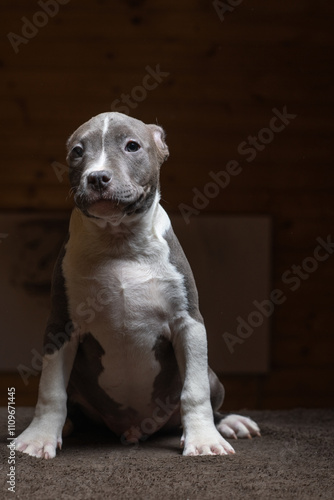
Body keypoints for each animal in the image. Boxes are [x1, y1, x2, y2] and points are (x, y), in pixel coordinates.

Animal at [15, 112, 260, 458]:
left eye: (132, 146)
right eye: (77, 151)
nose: (97, 177)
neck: (119, 242)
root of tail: (134, 428)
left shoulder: (188, 322)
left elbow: (194, 391)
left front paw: (203, 440)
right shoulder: (60, 325)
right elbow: (50, 390)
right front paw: (38, 439)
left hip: (211, 378)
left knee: (208, 397)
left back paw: (230, 423)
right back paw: (68, 426)